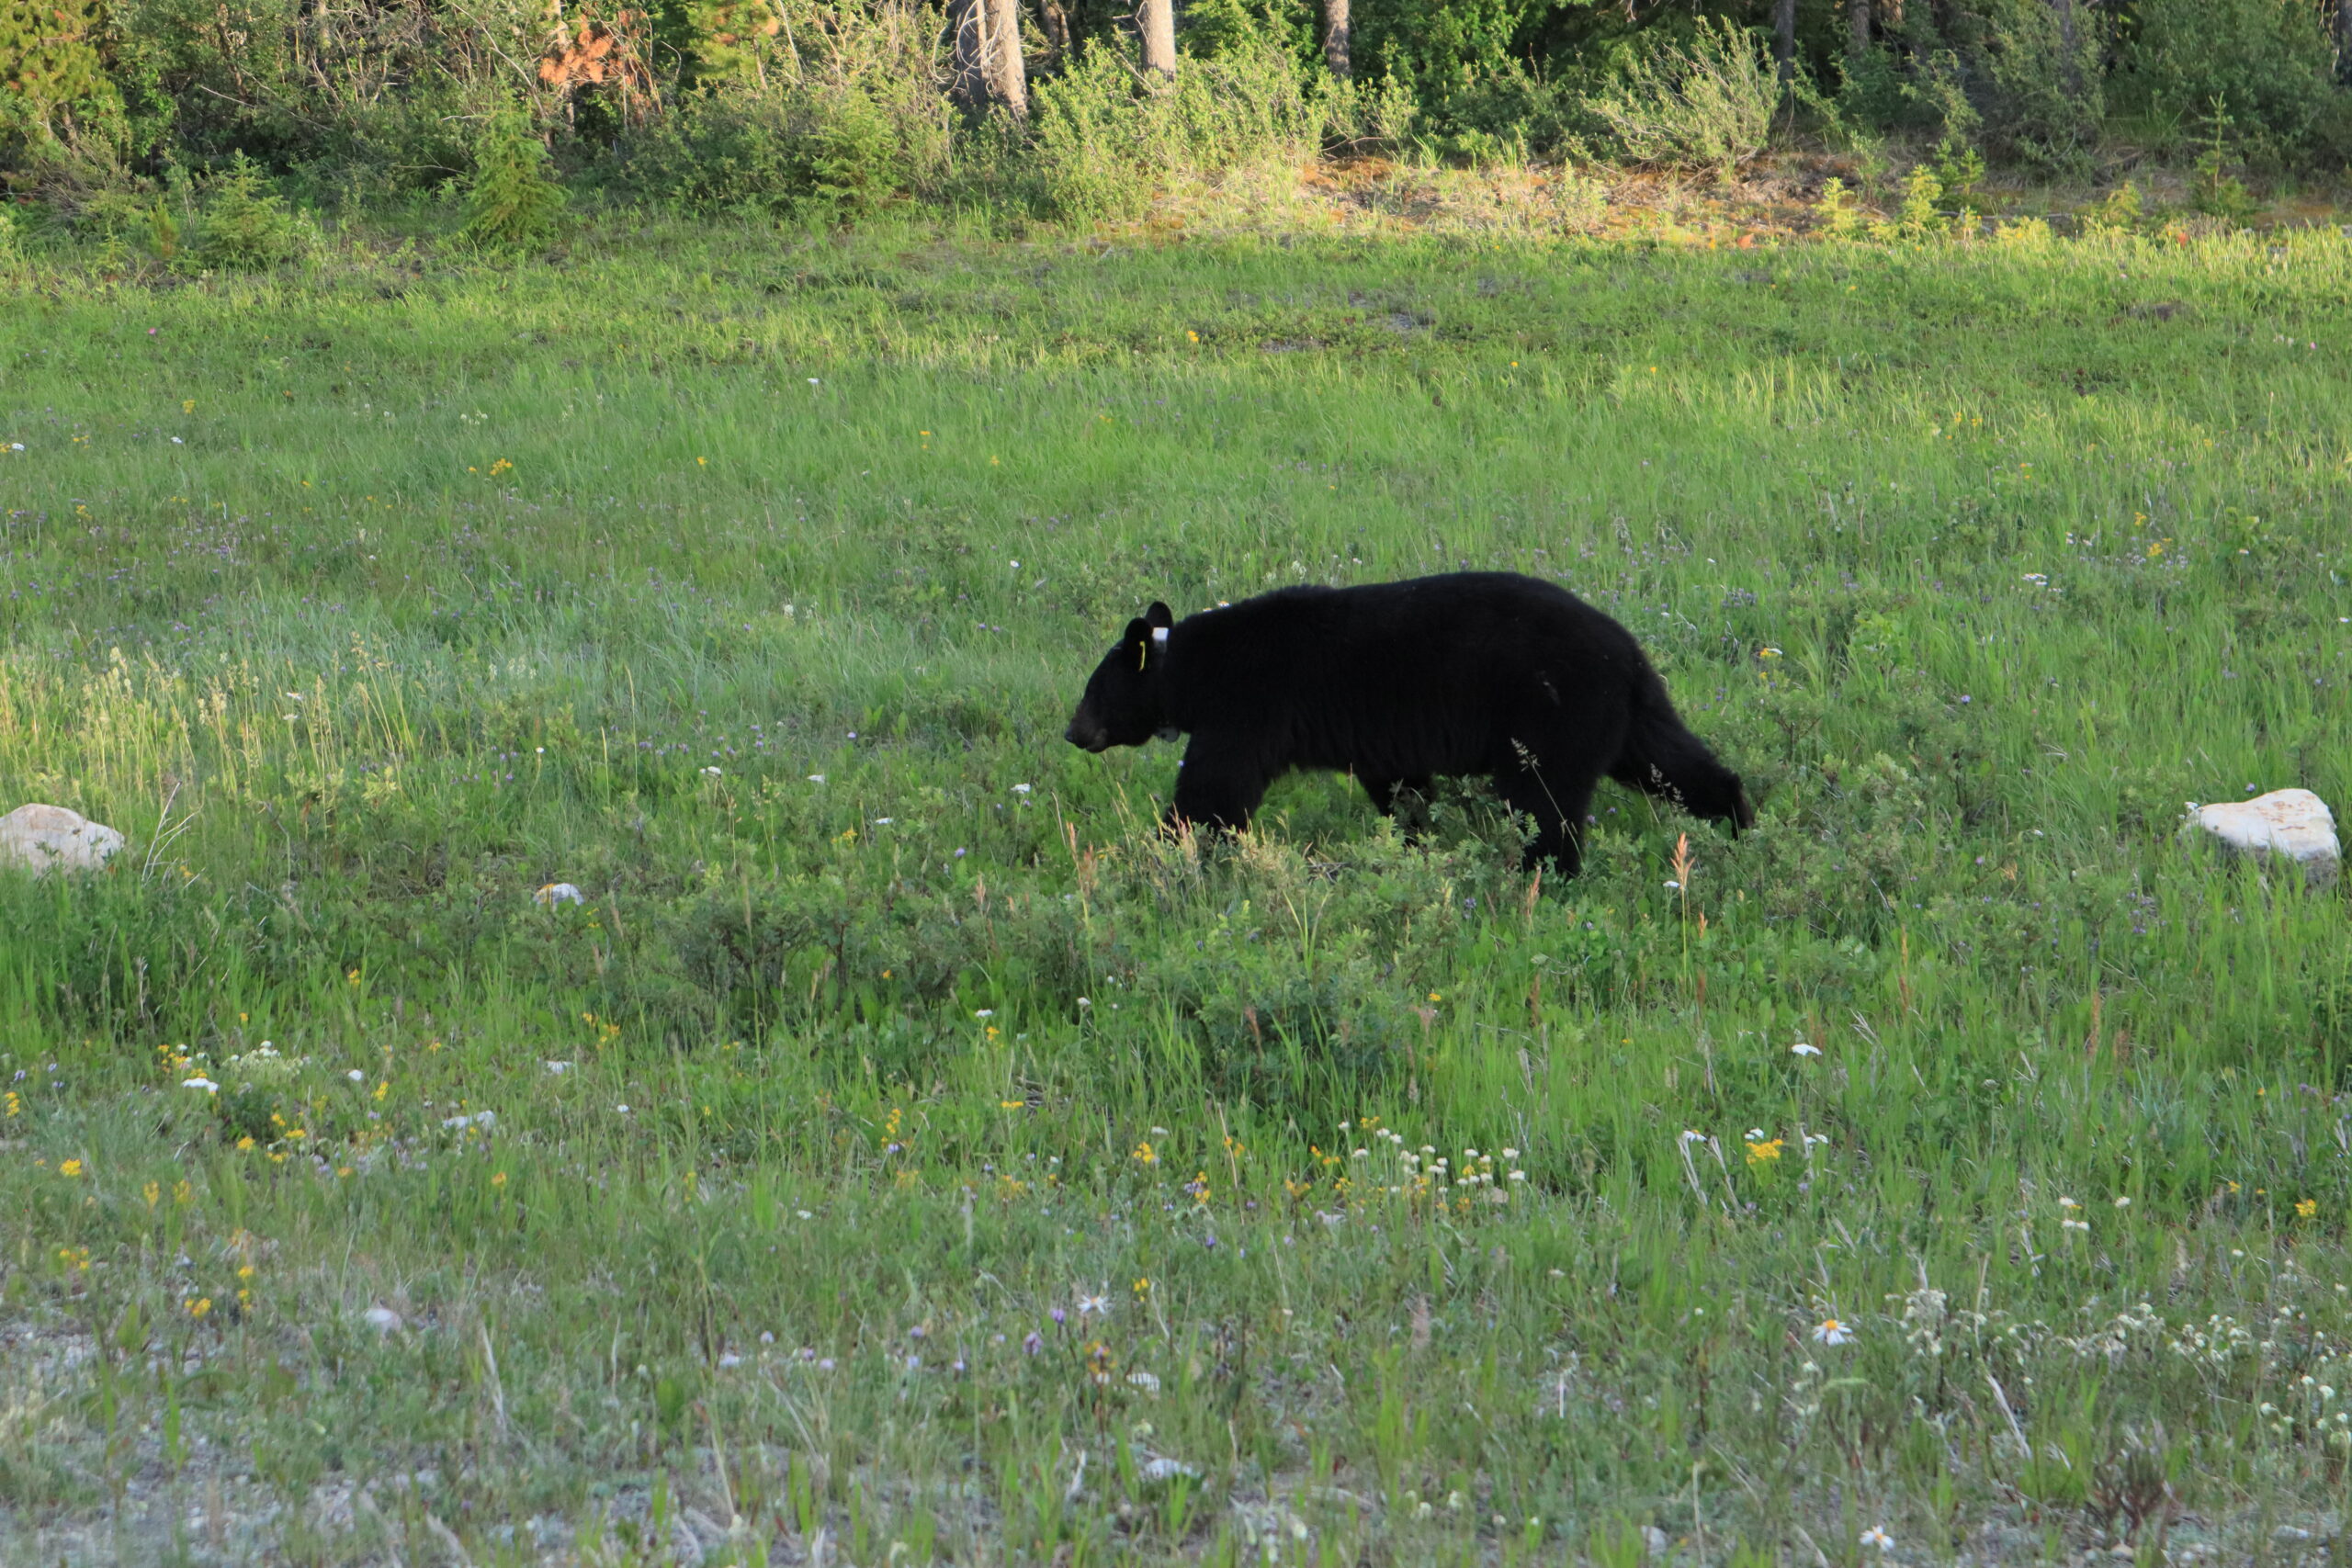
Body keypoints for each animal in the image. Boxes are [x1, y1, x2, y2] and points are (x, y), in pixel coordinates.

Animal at [1064, 571, 1753, 875]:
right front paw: (1414, 839)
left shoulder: (1250, 707)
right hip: (1626, 712)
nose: (1073, 731)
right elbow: (1402, 789)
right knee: (1671, 761)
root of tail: (1627, 651)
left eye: (1093, 690)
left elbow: (1214, 791)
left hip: (1551, 712)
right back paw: (1739, 820)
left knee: (1545, 801)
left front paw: (1159, 850)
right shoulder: (1380, 740)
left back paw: (1538, 873)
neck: (1195, 667)